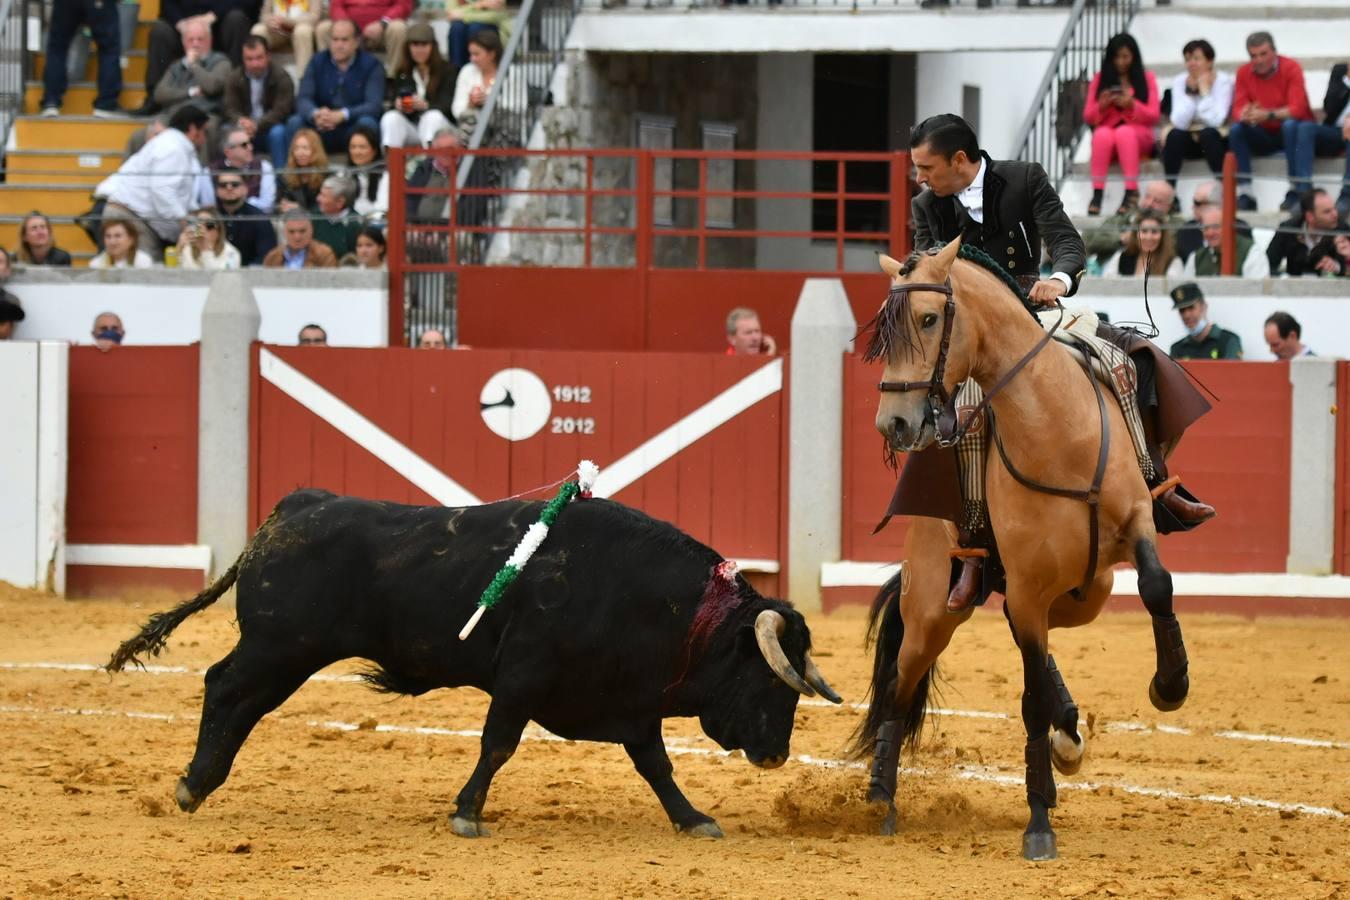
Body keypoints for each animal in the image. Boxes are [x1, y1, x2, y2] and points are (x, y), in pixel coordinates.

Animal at [110, 493, 837, 836]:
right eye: (771, 679)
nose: (776, 754)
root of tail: (294, 506)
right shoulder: (522, 678)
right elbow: (497, 746)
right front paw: (466, 814)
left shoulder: (629, 703)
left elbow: (655, 766)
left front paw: (694, 820)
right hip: (281, 648)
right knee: (227, 690)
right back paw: (194, 784)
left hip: (284, 653)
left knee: (237, 699)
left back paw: (198, 784)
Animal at [853, 237, 1193, 858]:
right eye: (885, 331)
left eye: (930, 318)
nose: (894, 424)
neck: (1055, 431)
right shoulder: (1030, 587)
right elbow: (1028, 700)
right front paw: (1038, 824)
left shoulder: (1134, 523)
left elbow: (1158, 584)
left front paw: (1170, 685)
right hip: (933, 610)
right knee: (898, 686)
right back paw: (879, 801)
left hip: (1089, 588)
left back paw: (1068, 735)